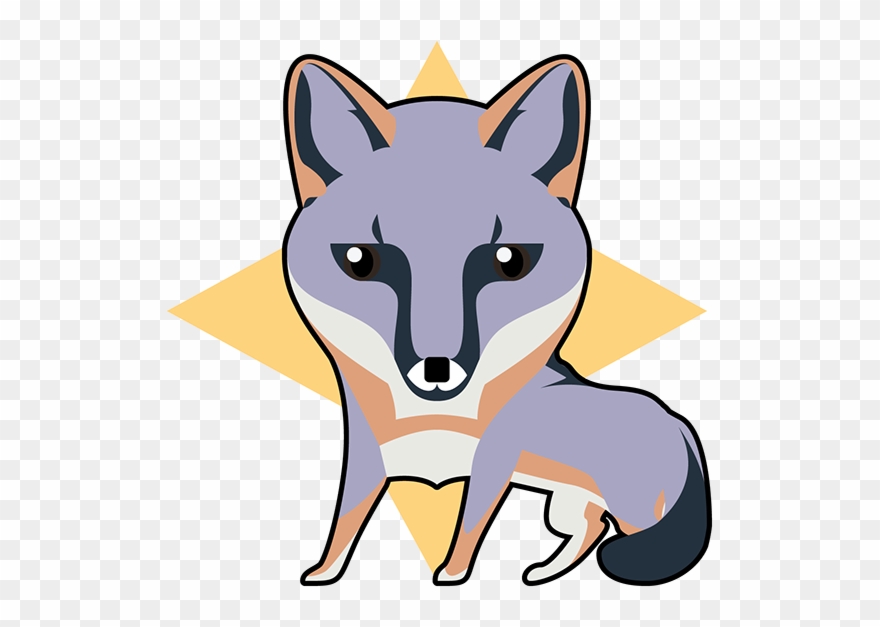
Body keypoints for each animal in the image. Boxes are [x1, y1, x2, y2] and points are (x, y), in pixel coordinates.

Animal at [281, 54, 711, 586]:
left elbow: (469, 525)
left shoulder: (492, 463)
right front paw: (324, 571)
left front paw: (451, 573)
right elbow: (344, 522)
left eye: (509, 261)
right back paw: (546, 571)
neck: (432, 418)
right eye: (361, 262)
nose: (437, 368)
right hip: (565, 505)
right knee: (587, 529)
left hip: (628, 512)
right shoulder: (365, 454)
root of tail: (678, 423)